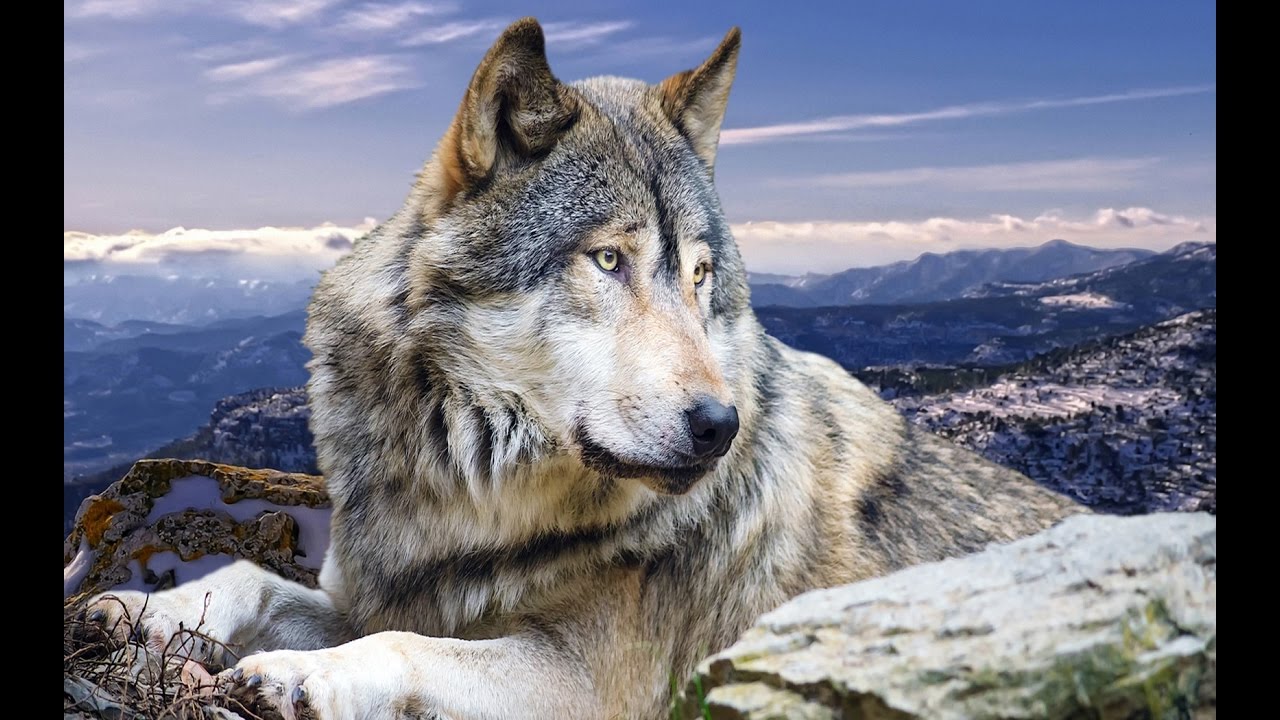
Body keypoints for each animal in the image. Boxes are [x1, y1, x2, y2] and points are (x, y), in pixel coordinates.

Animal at [86, 18, 1082, 719]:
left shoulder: (590, 684)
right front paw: (140, 608)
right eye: (609, 261)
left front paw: (299, 678)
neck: (472, 500)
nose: (719, 427)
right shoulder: (387, 592)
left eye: (700, 276)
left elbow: (403, 648)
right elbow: (253, 579)